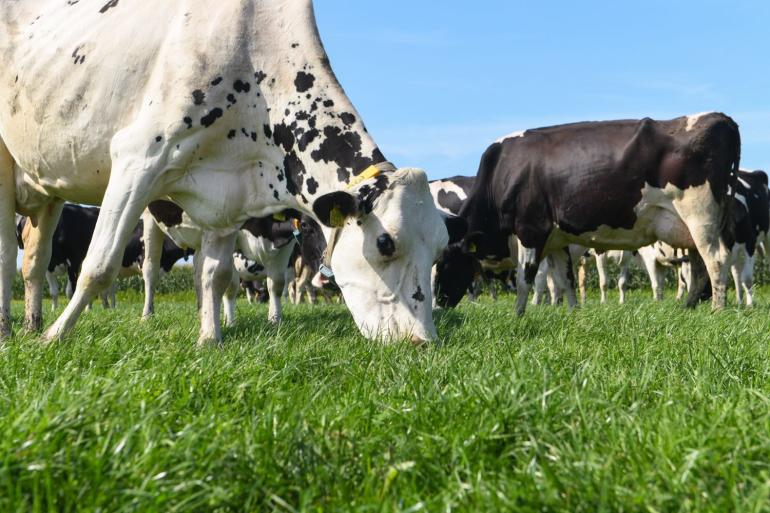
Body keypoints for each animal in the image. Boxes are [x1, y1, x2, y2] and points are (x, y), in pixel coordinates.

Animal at [0, 1, 450, 344]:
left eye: (441, 249)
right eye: (385, 244)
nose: (423, 342)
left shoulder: (228, 199)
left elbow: (215, 277)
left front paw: (209, 339)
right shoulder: (138, 157)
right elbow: (98, 265)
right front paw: (55, 337)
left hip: (50, 189)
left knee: (35, 261)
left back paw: (30, 323)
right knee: (12, 253)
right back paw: (15, 329)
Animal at [432, 112, 736, 312]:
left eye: (444, 263)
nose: (436, 306)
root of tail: (720, 118)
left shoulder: (531, 229)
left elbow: (525, 279)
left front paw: (519, 315)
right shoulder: (557, 240)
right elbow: (565, 280)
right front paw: (571, 313)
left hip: (700, 216)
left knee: (716, 260)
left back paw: (717, 310)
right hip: (690, 227)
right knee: (698, 266)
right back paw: (689, 306)